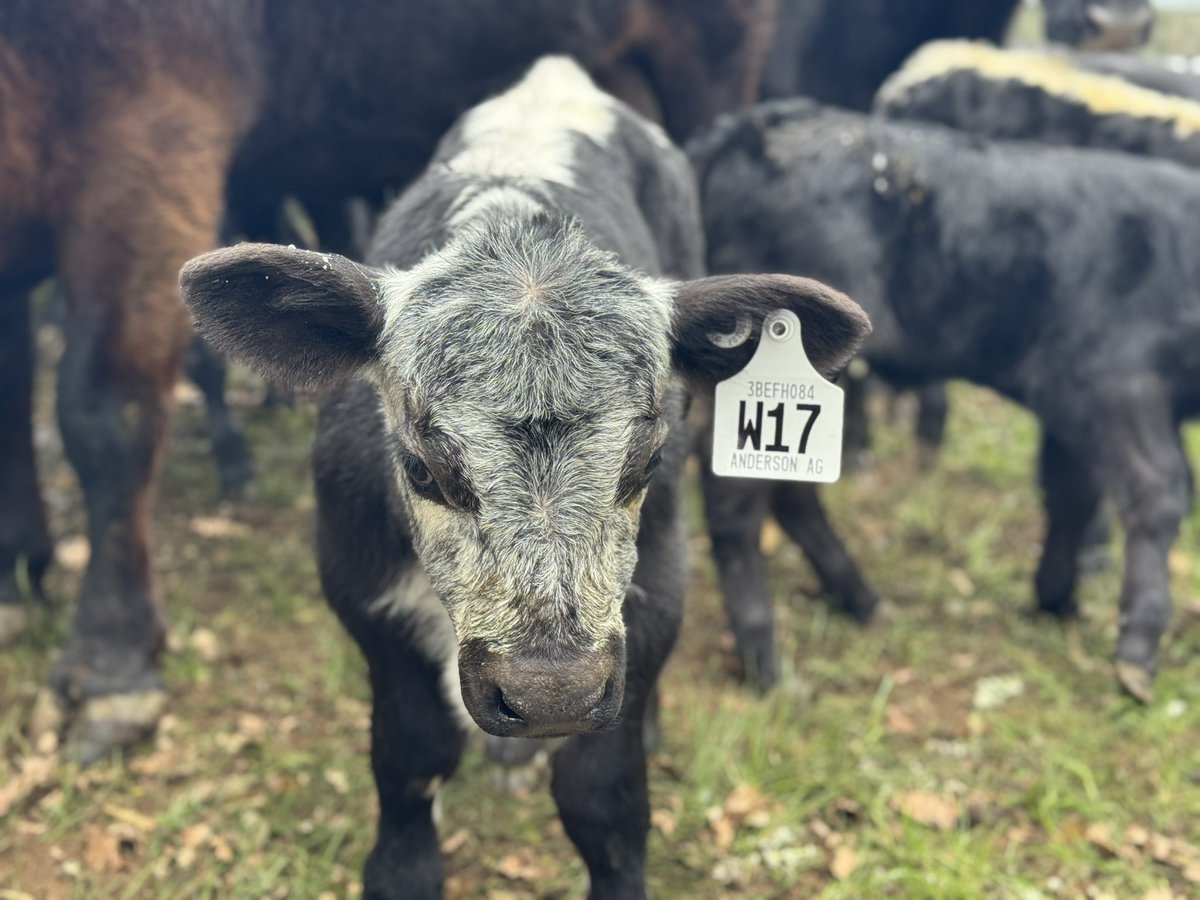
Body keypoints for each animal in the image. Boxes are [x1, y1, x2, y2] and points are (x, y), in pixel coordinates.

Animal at [0, 0, 777, 762]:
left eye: (646, 463)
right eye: (421, 471)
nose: (552, 692)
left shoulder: (148, 129)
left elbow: (104, 414)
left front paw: (108, 671)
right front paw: (18, 572)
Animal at [179, 58, 870, 898]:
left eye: (648, 460)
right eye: (421, 467)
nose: (552, 694)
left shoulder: (658, 586)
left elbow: (603, 795)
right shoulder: (359, 586)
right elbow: (410, 756)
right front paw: (404, 865)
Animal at [688, 98, 1200, 702]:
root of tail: (760, 120)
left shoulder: (1069, 404)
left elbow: (1069, 494)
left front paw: (1055, 598)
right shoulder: (1115, 383)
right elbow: (1157, 493)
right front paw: (1137, 651)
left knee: (789, 493)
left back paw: (860, 598)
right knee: (735, 501)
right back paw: (766, 664)